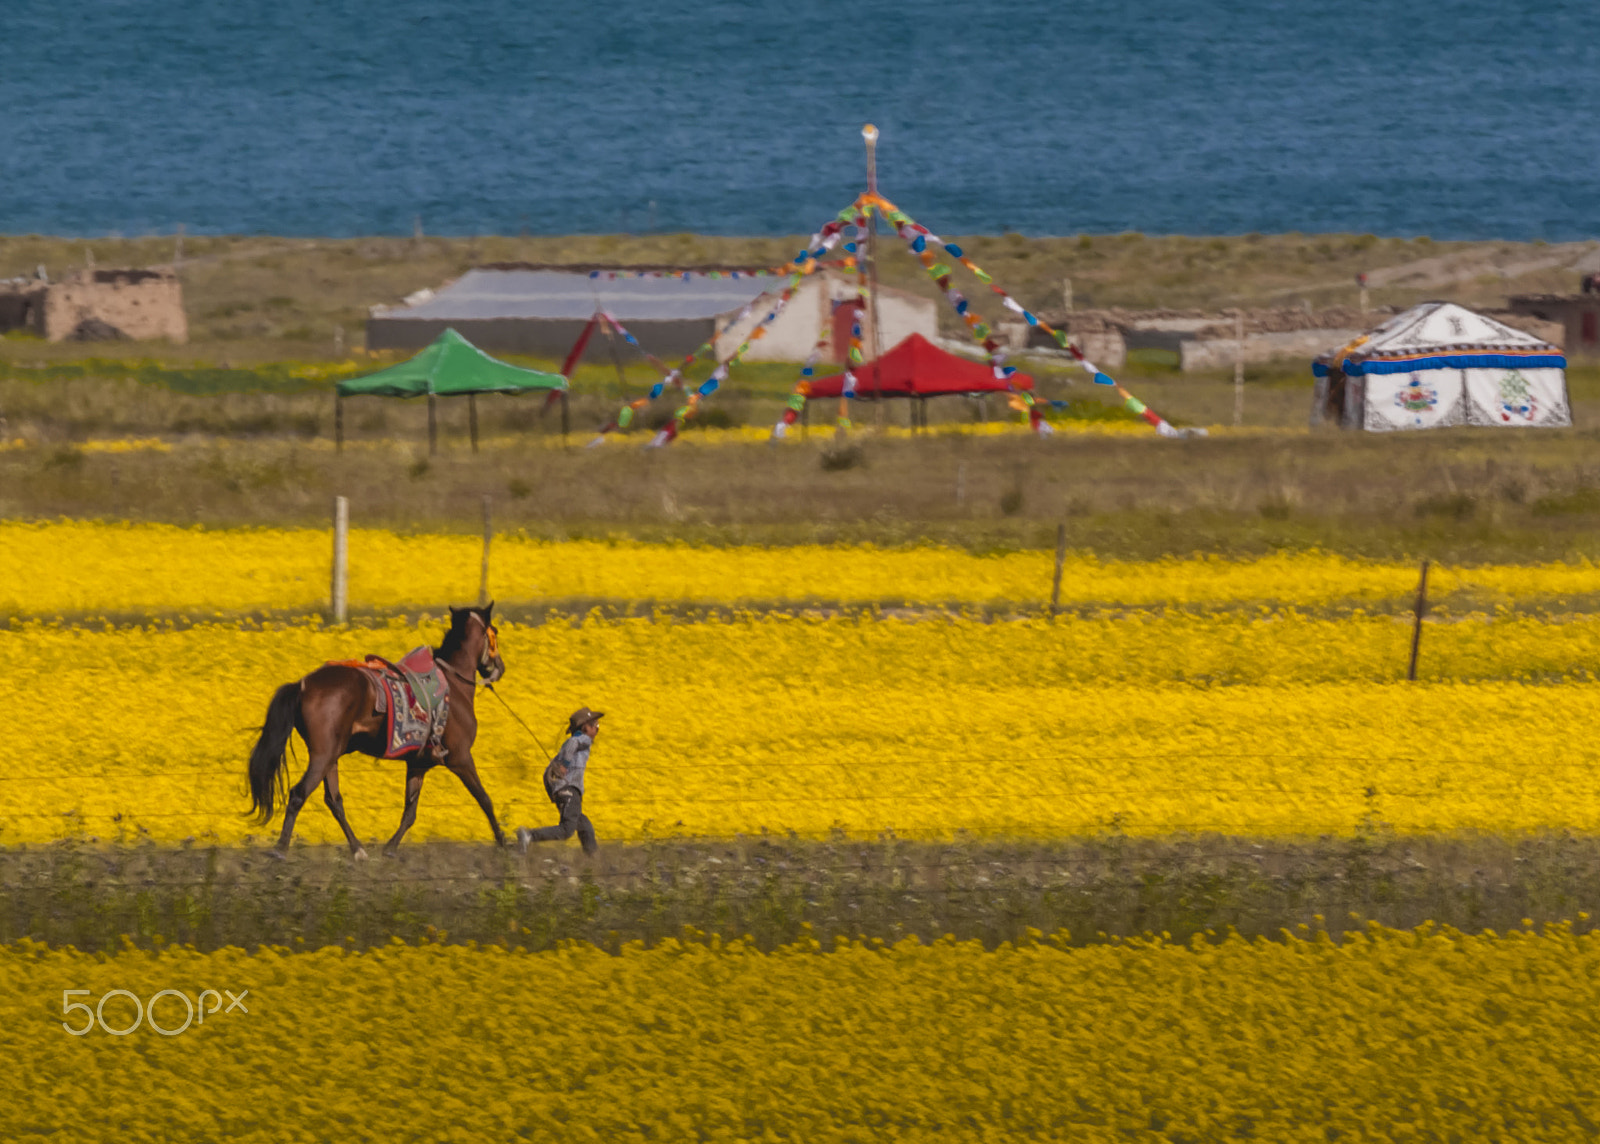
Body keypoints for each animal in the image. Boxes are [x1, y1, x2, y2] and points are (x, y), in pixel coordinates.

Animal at [246, 603, 508, 858]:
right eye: (494, 632)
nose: (500, 668)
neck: (454, 684)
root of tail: (302, 684)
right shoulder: (461, 758)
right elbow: (485, 799)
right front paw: (503, 841)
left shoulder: (418, 764)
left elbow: (410, 812)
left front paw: (390, 848)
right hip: (323, 756)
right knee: (299, 793)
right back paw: (280, 849)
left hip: (331, 757)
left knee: (334, 800)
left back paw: (358, 849)